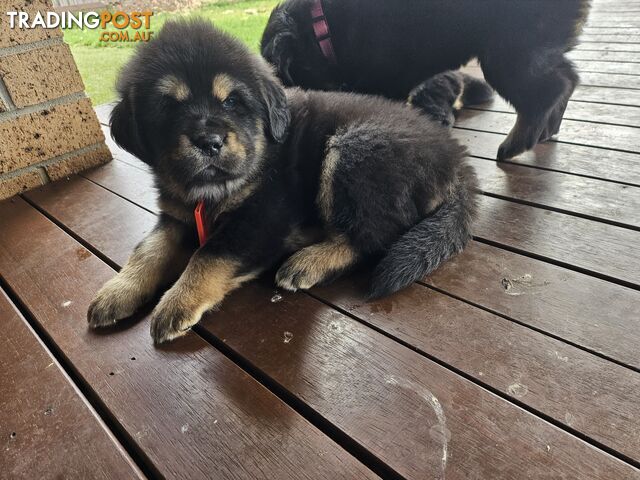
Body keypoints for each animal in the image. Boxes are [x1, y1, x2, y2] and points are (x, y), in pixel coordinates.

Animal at [86, 17, 476, 342]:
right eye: (169, 107)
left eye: (231, 102)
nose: (209, 142)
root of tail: (456, 158)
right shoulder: (175, 216)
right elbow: (148, 249)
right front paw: (117, 291)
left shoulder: (264, 216)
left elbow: (209, 254)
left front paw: (177, 302)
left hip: (353, 148)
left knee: (372, 237)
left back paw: (308, 261)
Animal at [260, 0, 592, 161]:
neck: (322, 29)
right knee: (567, 79)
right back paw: (547, 131)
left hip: (509, 52)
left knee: (549, 91)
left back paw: (516, 143)